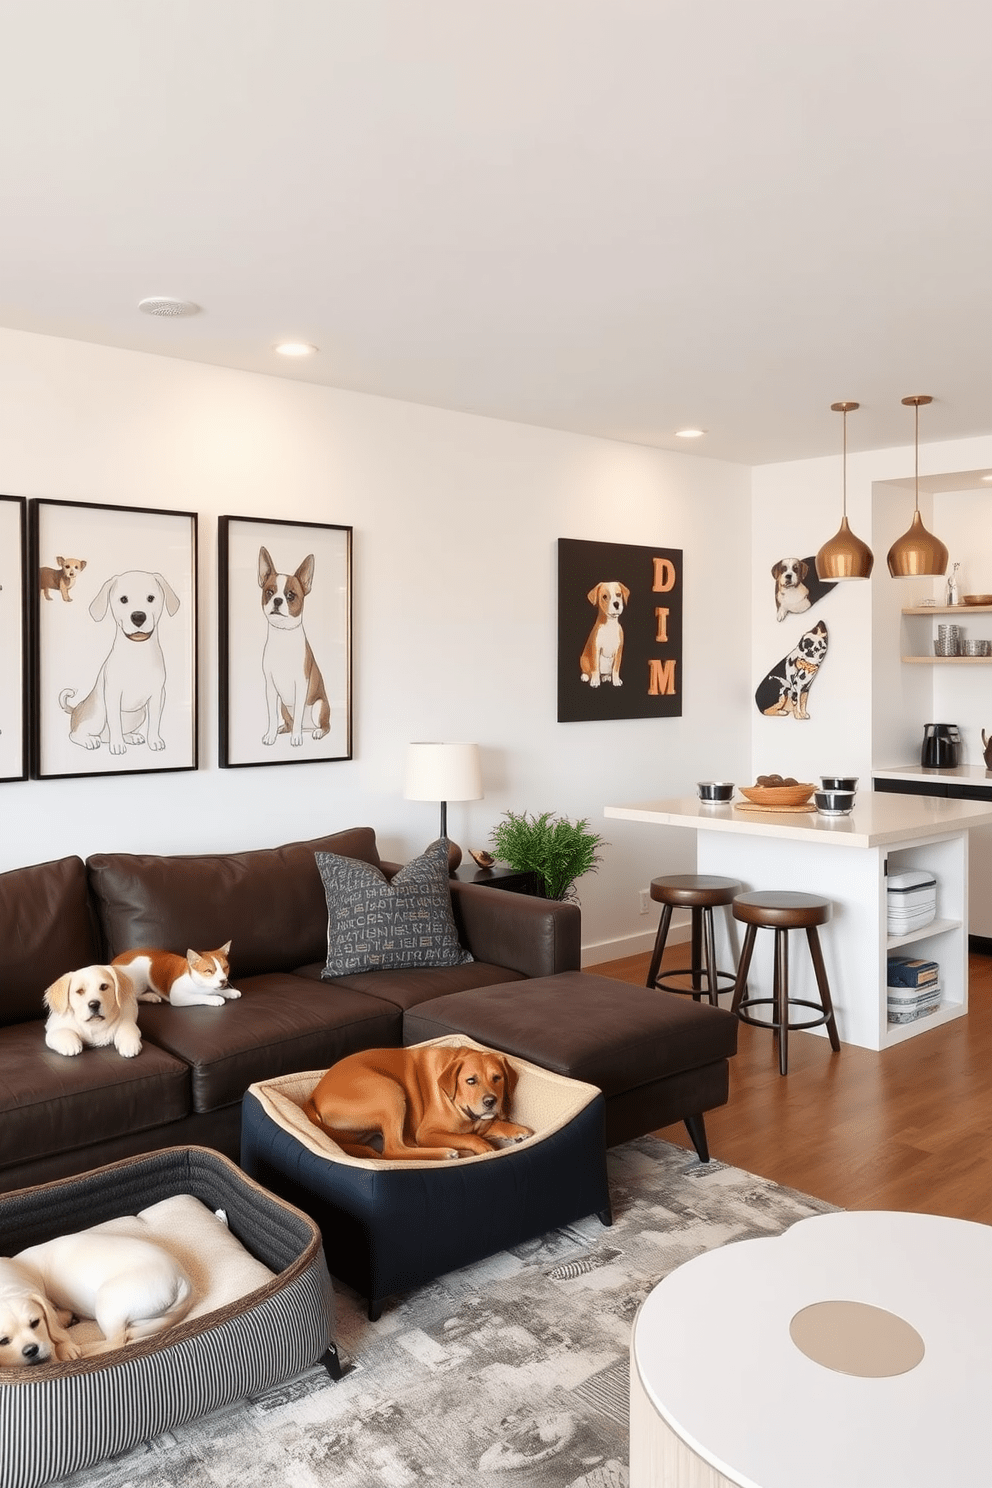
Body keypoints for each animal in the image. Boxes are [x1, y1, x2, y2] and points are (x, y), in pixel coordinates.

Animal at [111, 946, 240, 1005]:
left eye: (225, 967)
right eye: (208, 971)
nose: (223, 980)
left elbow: (215, 989)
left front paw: (229, 991)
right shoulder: (178, 996)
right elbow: (199, 996)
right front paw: (214, 998)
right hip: (138, 980)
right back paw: (150, 996)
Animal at [304, 1047, 535, 1160]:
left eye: (498, 1078)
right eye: (471, 1080)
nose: (490, 1101)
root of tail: (313, 1098)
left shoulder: (481, 1121)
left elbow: (488, 1125)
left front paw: (515, 1129)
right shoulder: (427, 1133)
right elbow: (470, 1137)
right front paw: (484, 1146)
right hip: (390, 1092)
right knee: (393, 1150)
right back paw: (444, 1153)